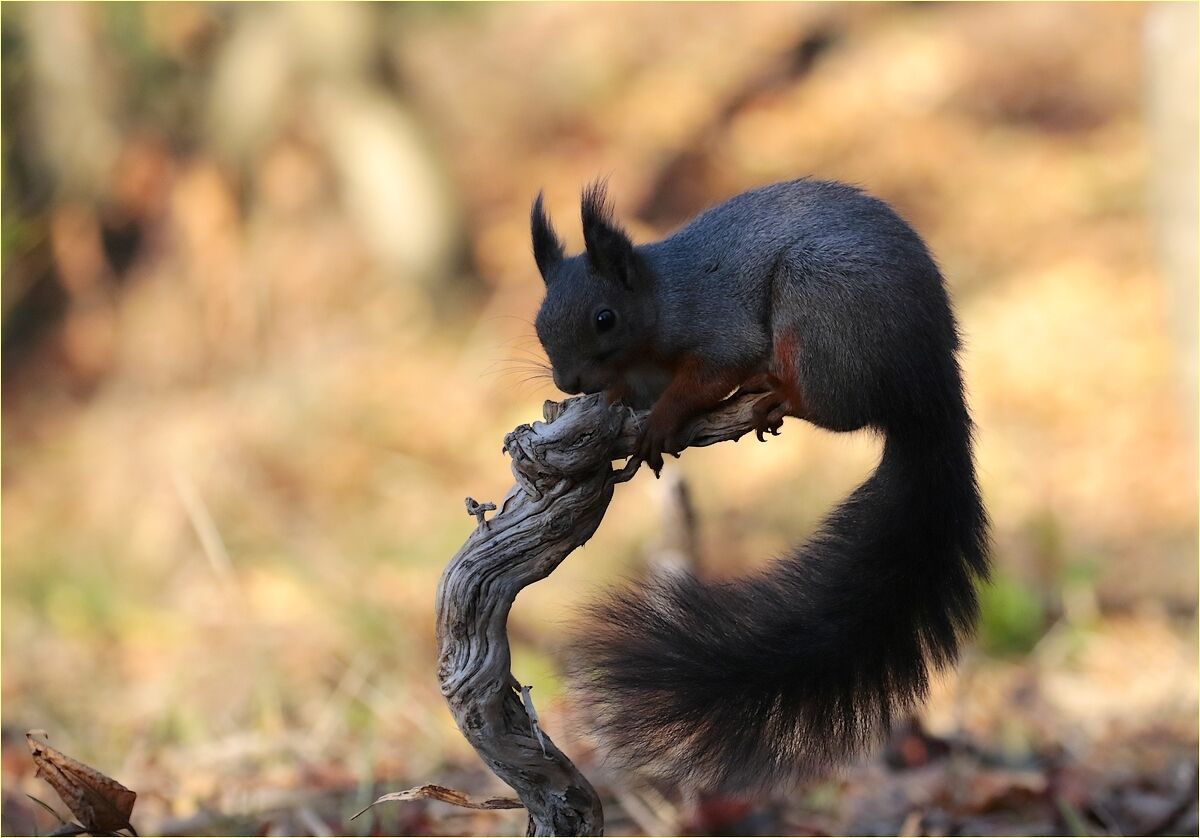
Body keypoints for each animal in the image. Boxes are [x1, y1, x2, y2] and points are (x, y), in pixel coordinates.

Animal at [529, 178, 990, 793]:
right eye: (540, 324)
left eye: (605, 318)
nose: (567, 382)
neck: (660, 301)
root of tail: (926, 385)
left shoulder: (720, 329)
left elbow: (707, 376)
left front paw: (660, 424)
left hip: (819, 313)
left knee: (835, 408)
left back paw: (778, 393)